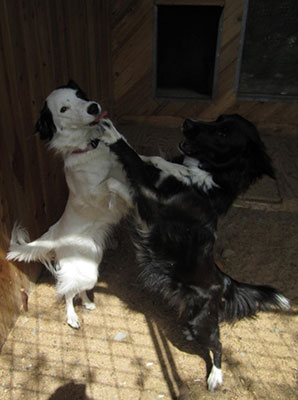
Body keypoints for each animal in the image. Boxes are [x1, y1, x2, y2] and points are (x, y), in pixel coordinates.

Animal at [99, 115, 288, 390]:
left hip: (202, 323)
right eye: (218, 119)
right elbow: (135, 176)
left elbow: (133, 158)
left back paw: (216, 377)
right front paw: (113, 181)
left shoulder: (155, 201)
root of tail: (223, 280)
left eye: (223, 134)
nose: (187, 122)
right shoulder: (147, 200)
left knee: (218, 344)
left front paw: (112, 134)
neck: (205, 179)